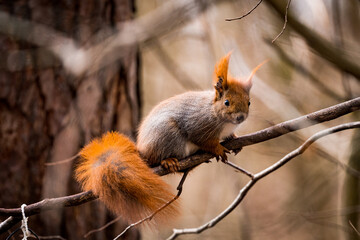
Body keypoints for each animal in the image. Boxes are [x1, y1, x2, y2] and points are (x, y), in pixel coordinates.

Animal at [75, 51, 262, 224]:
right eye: (227, 103)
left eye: (249, 102)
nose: (240, 117)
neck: (215, 112)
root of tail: (143, 154)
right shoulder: (197, 125)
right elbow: (203, 140)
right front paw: (218, 148)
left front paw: (234, 140)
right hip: (169, 137)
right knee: (160, 159)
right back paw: (168, 161)